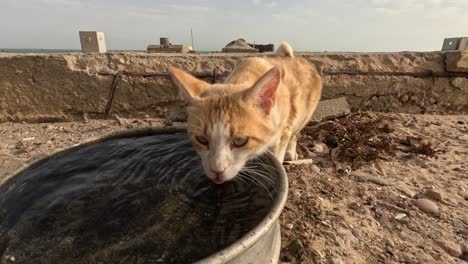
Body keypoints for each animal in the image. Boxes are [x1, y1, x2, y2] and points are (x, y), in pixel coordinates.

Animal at [171, 42, 322, 185]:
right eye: (201, 139)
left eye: (240, 141)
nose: (216, 170)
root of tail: (291, 57)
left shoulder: (282, 133)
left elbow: (278, 157)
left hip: (303, 115)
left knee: (296, 132)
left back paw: (291, 152)